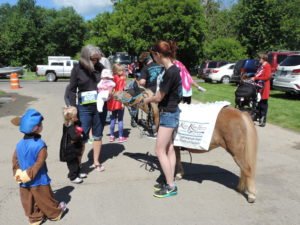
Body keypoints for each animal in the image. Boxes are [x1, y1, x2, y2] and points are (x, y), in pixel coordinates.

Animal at [113, 87, 258, 203]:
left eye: (132, 90)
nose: (115, 93)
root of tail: (241, 113)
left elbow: (175, 160)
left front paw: (174, 177)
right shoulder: (175, 145)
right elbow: (177, 159)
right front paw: (178, 174)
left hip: (236, 151)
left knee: (247, 169)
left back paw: (251, 195)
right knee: (243, 170)